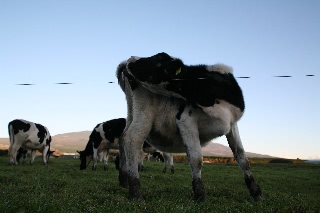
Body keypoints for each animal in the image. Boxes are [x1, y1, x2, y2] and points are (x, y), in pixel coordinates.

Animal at [116, 52, 262, 201]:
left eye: (158, 58)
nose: (132, 59)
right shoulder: (186, 120)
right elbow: (196, 159)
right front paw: (200, 195)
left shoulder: (232, 124)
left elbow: (242, 157)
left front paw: (256, 192)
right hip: (144, 113)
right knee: (132, 139)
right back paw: (135, 192)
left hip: (132, 112)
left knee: (123, 138)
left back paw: (124, 181)